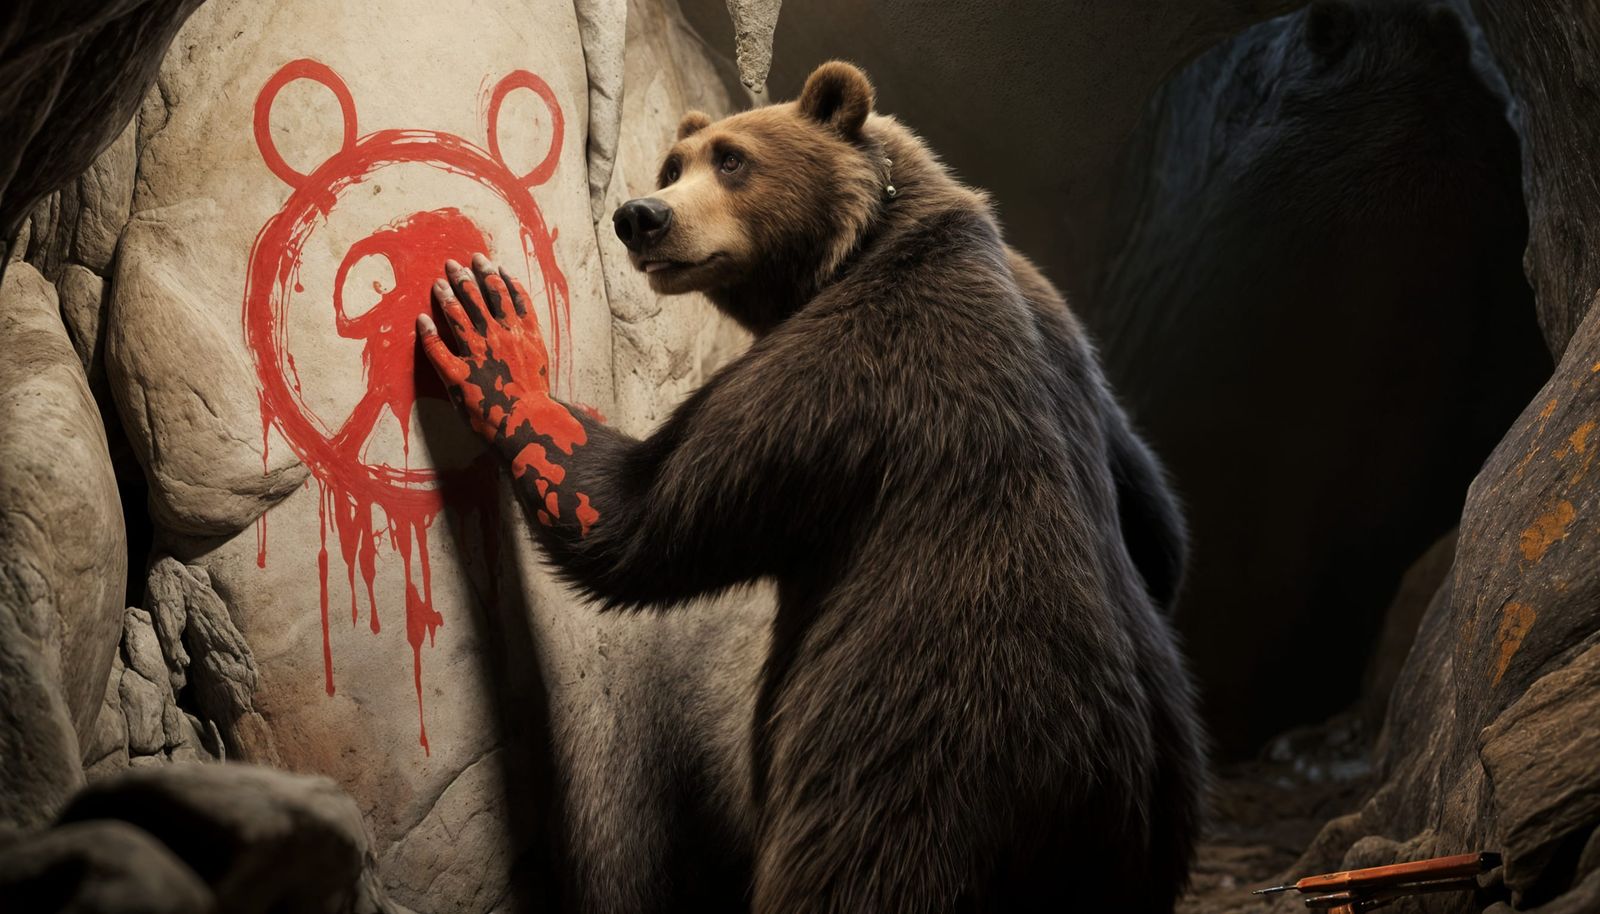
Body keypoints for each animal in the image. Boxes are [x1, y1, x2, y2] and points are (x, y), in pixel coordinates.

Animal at [418, 61, 1204, 913]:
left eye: (732, 159)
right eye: (672, 164)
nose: (640, 216)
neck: (855, 247)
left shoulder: (845, 374)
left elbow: (640, 517)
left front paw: (492, 340)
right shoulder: (1061, 334)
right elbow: (1161, 522)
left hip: (914, 763)